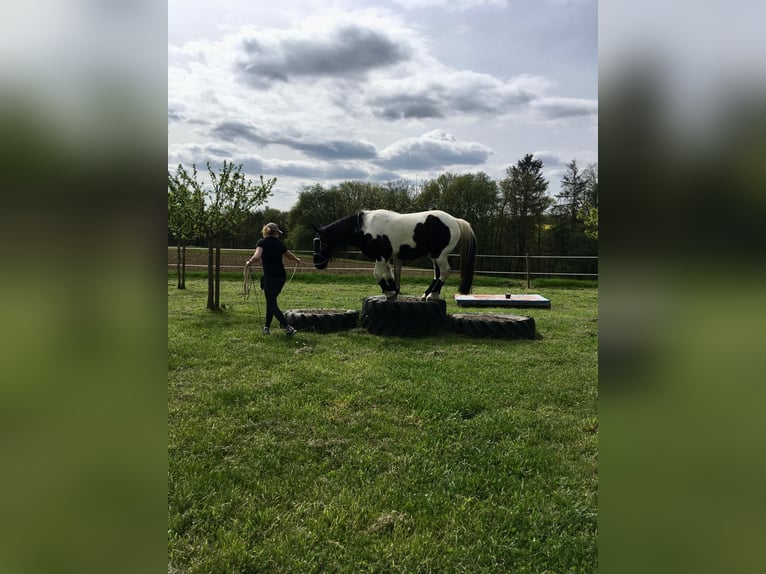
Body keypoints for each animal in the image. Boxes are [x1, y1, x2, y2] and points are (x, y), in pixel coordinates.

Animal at [312, 209, 477, 300]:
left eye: (318, 242)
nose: (317, 264)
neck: (365, 227)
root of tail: (455, 220)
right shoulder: (386, 257)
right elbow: (389, 274)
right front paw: (393, 291)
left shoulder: (381, 257)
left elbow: (377, 274)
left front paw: (388, 292)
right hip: (435, 256)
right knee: (437, 274)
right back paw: (427, 294)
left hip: (440, 255)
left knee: (444, 272)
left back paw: (432, 295)